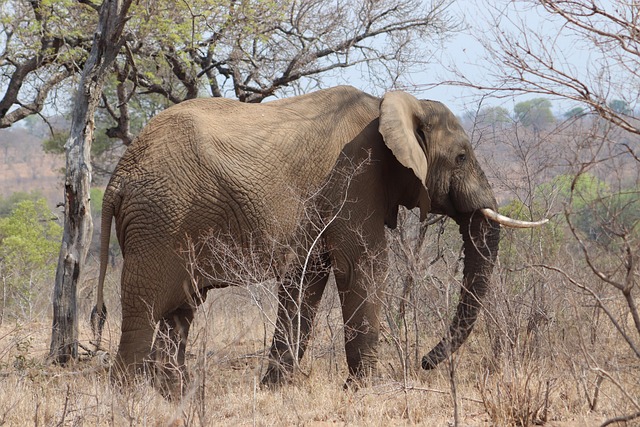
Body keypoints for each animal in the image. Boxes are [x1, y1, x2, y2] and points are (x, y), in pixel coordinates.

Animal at [91, 85, 545, 396]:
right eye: (462, 157)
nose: (424, 362)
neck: (394, 104)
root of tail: (118, 177)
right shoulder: (356, 178)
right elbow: (363, 267)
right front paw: (365, 391)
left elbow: (304, 282)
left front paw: (274, 390)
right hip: (159, 220)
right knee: (146, 308)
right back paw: (127, 399)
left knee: (180, 311)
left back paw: (173, 397)